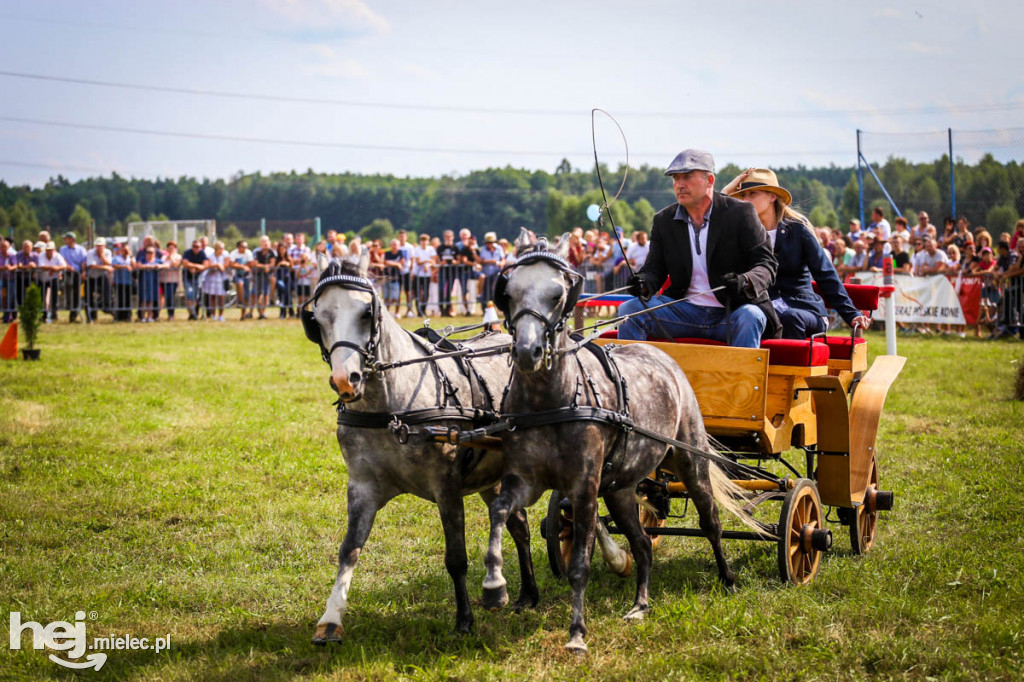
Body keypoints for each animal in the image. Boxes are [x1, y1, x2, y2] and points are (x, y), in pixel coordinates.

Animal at [307, 251, 540, 638]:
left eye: (366, 313)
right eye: (317, 319)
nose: (345, 379)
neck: (391, 408)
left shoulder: (446, 486)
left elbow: (456, 558)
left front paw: (464, 619)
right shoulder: (362, 487)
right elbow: (349, 550)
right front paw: (331, 618)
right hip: (491, 477)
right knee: (517, 524)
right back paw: (529, 595)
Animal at [483, 233, 749, 655]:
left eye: (558, 293)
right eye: (508, 292)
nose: (527, 352)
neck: (552, 402)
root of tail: (662, 353)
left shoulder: (584, 488)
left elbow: (580, 564)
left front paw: (577, 633)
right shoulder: (524, 480)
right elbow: (500, 513)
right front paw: (494, 586)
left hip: (690, 462)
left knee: (711, 522)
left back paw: (728, 579)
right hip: (621, 488)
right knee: (642, 544)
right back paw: (640, 604)